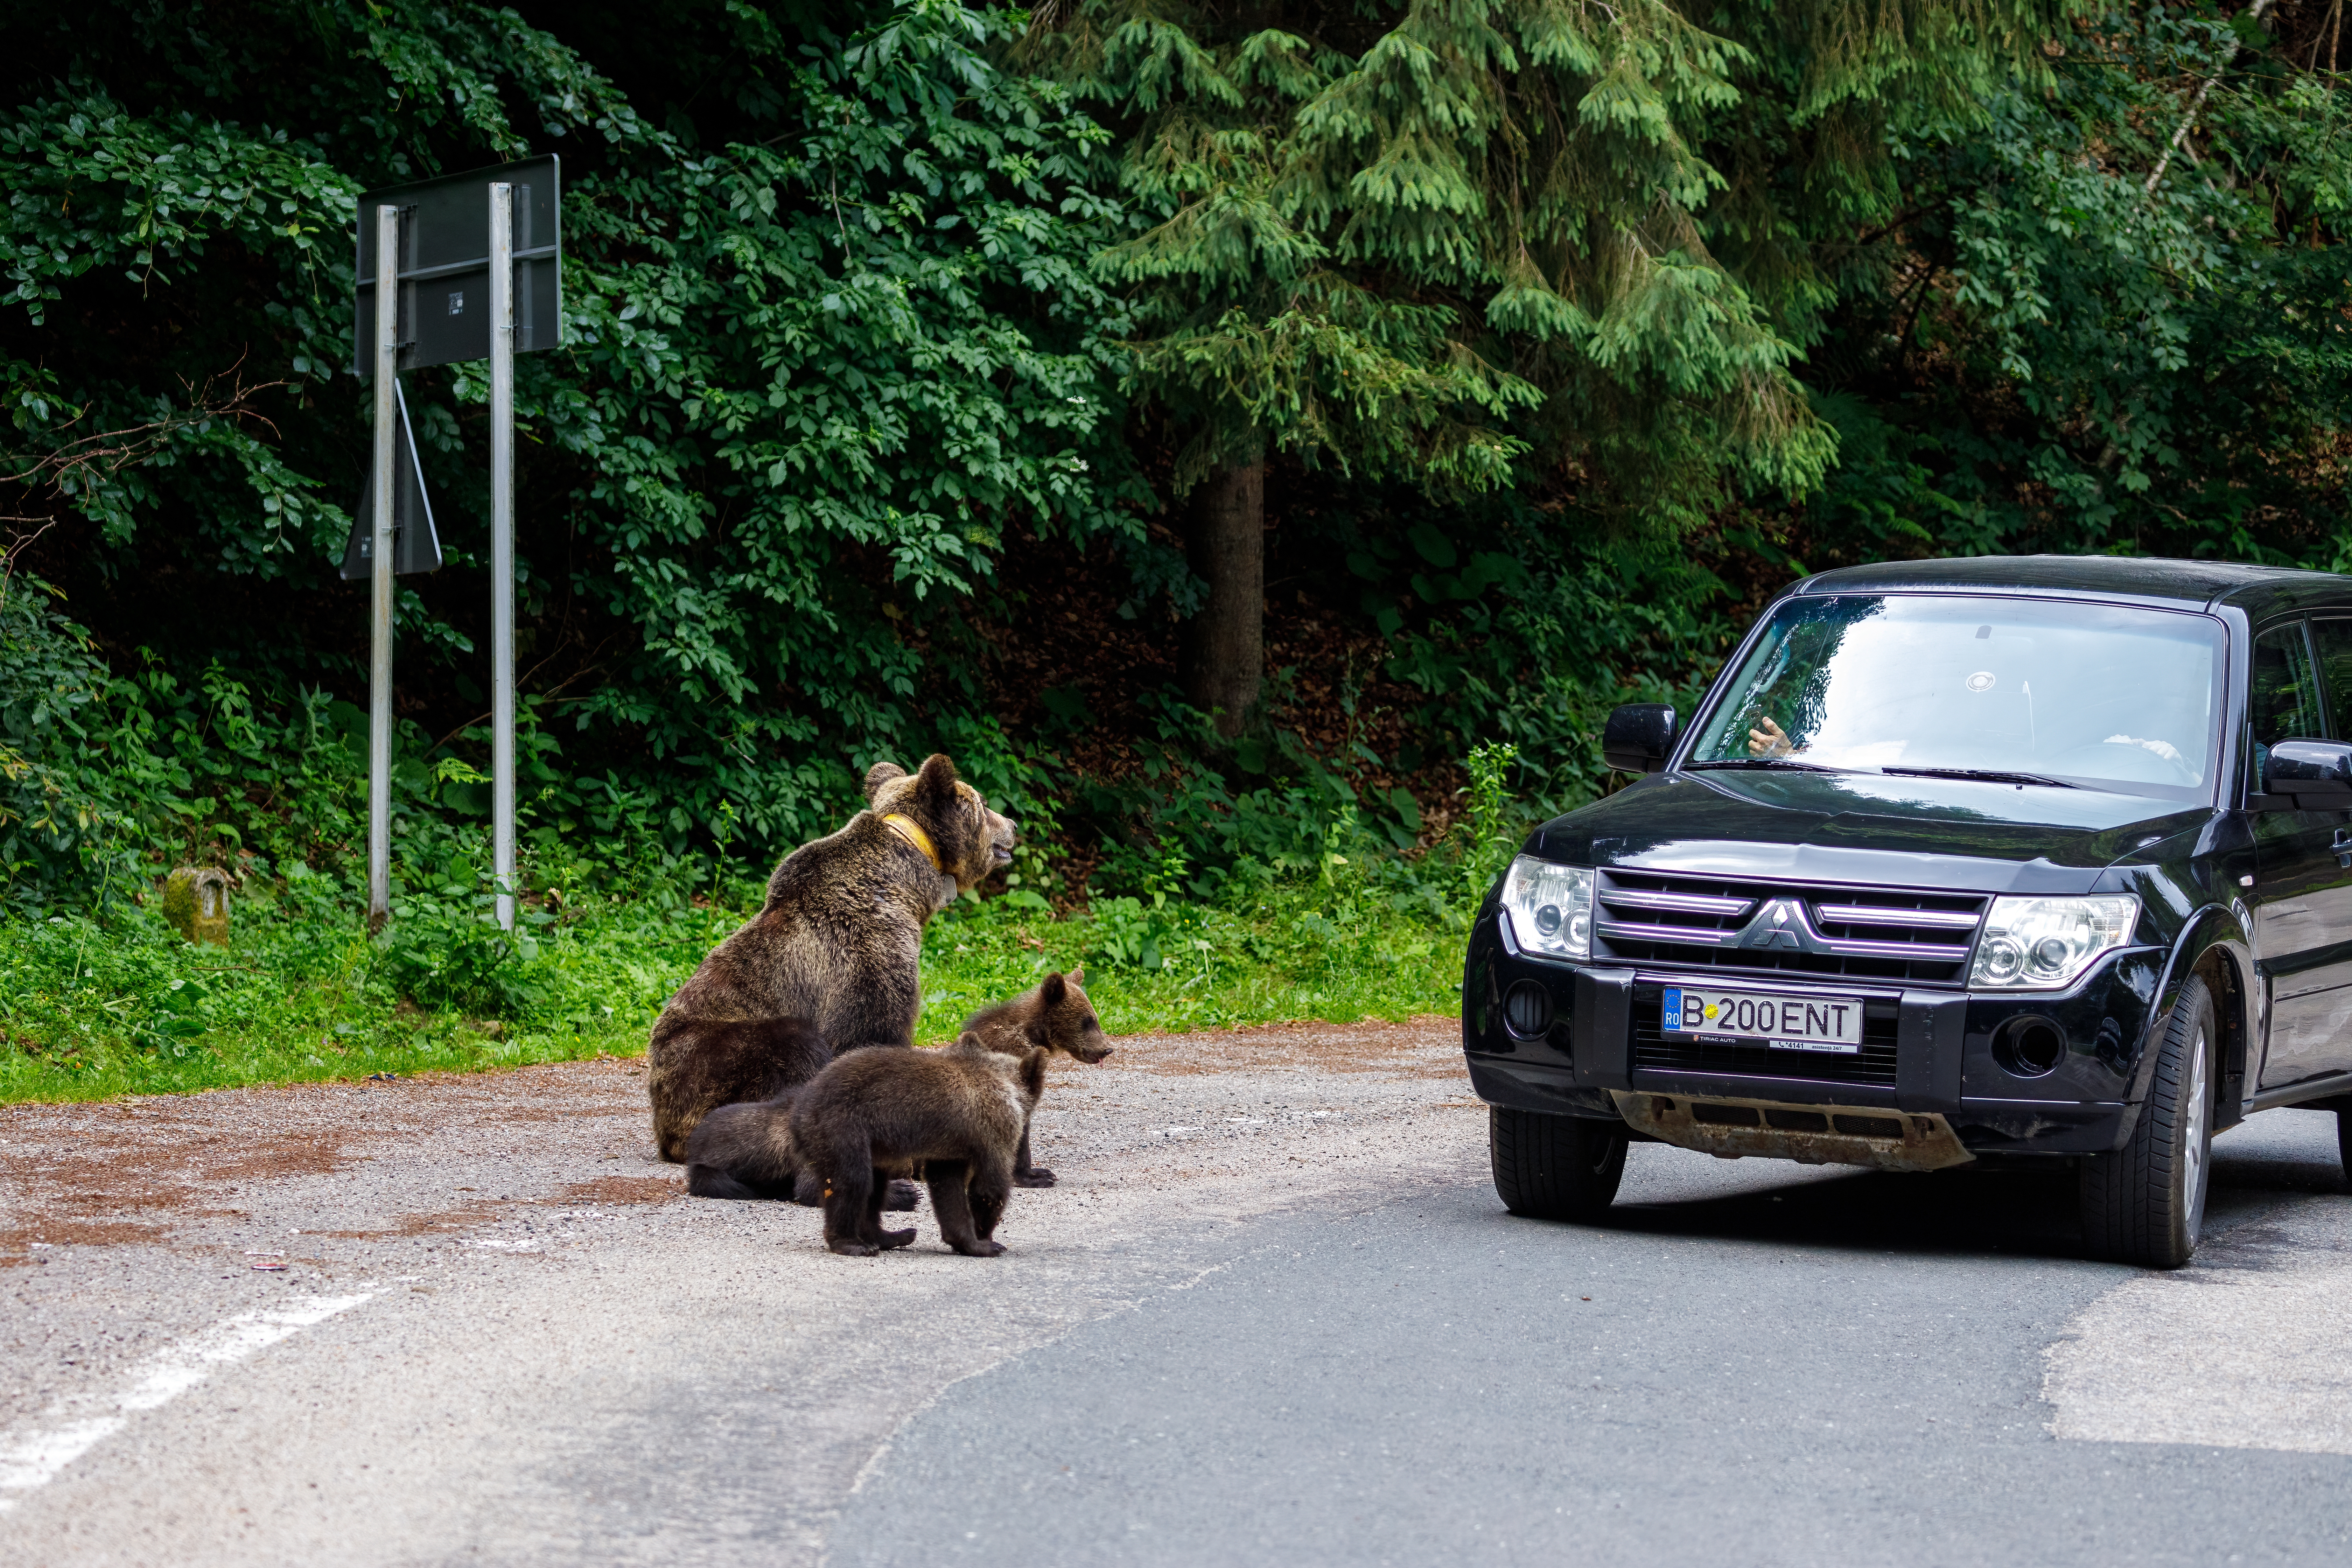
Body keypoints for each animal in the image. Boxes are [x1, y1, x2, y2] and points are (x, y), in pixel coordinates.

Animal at [646, 753, 1015, 1165]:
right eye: (984, 803)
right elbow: (870, 1029)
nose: (1013, 826)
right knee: (791, 1048)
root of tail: (663, 1123)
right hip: (714, 1057)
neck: (909, 882)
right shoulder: (865, 950)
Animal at [790, 1032, 1048, 1257]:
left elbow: (947, 1187)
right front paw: (987, 1241)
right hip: (844, 1128)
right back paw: (852, 1244)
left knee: (876, 1186)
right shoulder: (994, 1128)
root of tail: (798, 1112)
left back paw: (892, 1236)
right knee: (852, 1181)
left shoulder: (951, 1148)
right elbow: (991, 1185)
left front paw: (965, 1240)